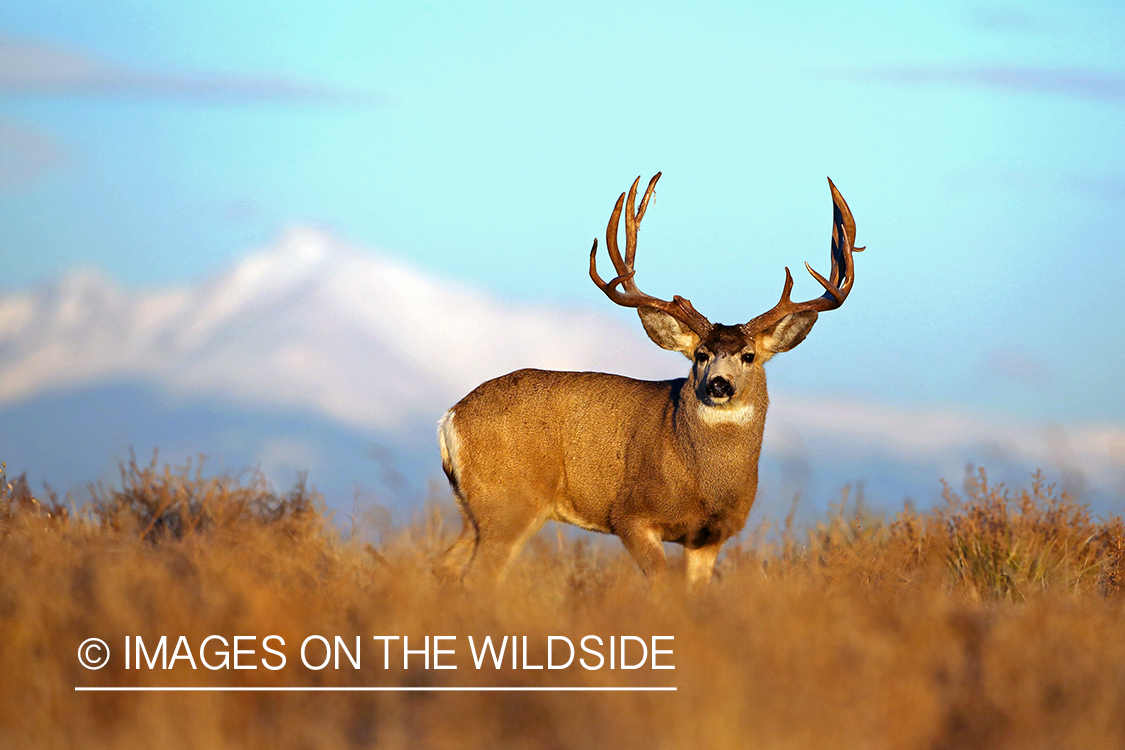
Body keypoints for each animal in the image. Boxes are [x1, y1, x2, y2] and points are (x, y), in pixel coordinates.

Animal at [437, 173, 863, 588]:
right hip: (508, 501)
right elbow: (662, 587)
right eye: (700, 355)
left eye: (749, 356)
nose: (719, 385)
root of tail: (450, 418)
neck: (701, 480)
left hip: (474, 508)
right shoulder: (631, 515)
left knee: (445, 564)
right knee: (478, 575)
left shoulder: (710, 536)